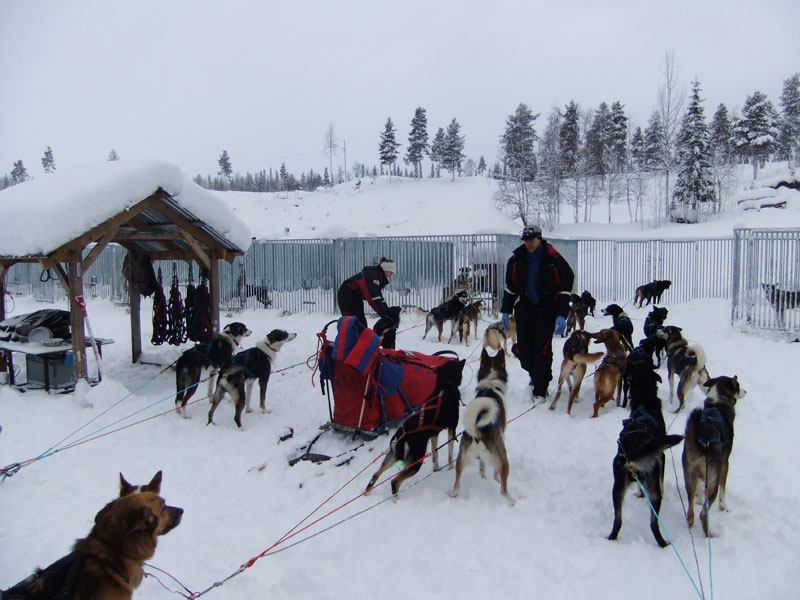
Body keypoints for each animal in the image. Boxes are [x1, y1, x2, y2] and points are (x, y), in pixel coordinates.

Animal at [365, 358, 466, 499]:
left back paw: (368, 492)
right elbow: (450, 455)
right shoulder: (452, 429)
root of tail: (402, 435)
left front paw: (436, 468)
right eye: (455, 362)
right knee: (395, 481)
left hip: (393, 456)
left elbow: (435, 454)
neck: (444, 387)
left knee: (375, 475)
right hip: (416, 461)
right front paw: (450, 469)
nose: (461, 359)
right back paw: (396, 500)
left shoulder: (434, 434)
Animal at [448, 349, 514, 506]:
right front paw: (495, 478)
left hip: (460, 460)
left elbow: (482, 465)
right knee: (503, 491)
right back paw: (513, 502)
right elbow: (496, 474)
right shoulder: (502, 435)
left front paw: (482, 476)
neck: (491, 384)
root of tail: (477, 433)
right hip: (503, 459)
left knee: (456, 485)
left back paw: (453, 493)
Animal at [608, 366, 684, 547]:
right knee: (653, 525)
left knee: (617, 522)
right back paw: (664, 544)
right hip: (654, 489)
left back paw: (611, 537)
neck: (644, 401)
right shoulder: (661, 457)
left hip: (617, 488)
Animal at [682, 375, 746, 536]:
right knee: (703, 514)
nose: (745, 391)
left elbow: (699, 489)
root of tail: (704, 442)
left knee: (690, 511)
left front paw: (699, 498)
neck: (718, 402)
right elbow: (723, 492)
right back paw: (710, 534)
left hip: (689, 475)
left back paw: (691, 523)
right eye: (738, 385)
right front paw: (725, 508)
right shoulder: (725, 464)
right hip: (714, 480)